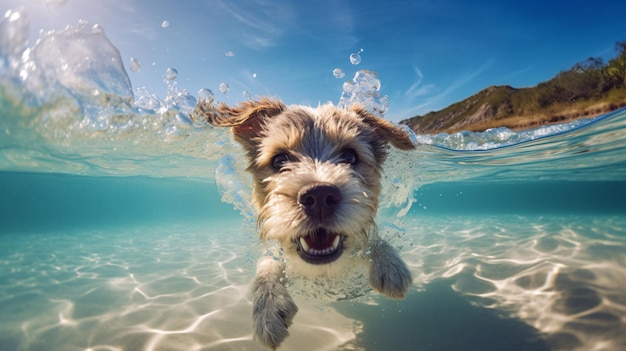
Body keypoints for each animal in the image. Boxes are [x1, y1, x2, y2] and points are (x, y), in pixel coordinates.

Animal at [190, 98, 414, 350]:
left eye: (350, 157)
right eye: (280, 160)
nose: (319, 196)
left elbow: (374, 239)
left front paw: (391, 266)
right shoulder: (276, 248)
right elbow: (267, 263)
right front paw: (268, 307)